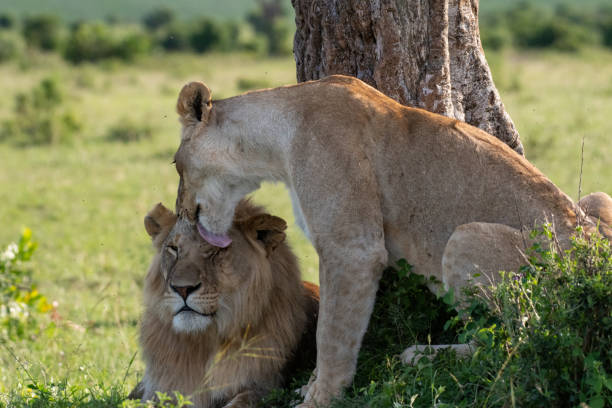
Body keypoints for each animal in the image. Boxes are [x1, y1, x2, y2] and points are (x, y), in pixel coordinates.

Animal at [131, 200, 318, 404]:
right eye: (173, 248)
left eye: (216, 250)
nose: (182, 288)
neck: (203, 342)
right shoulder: (158, 390)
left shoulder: (267, 387)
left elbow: (241, 401)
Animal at [169, 75, 612, 406]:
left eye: (175, 165)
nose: (182, 213)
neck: (275, 140)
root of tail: (591, 258)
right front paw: (309, 387)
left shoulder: (352, 248)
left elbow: (332, 332)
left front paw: (320, 398)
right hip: (596, 200)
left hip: (466, 236)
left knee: (510, 343)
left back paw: (420, 356)